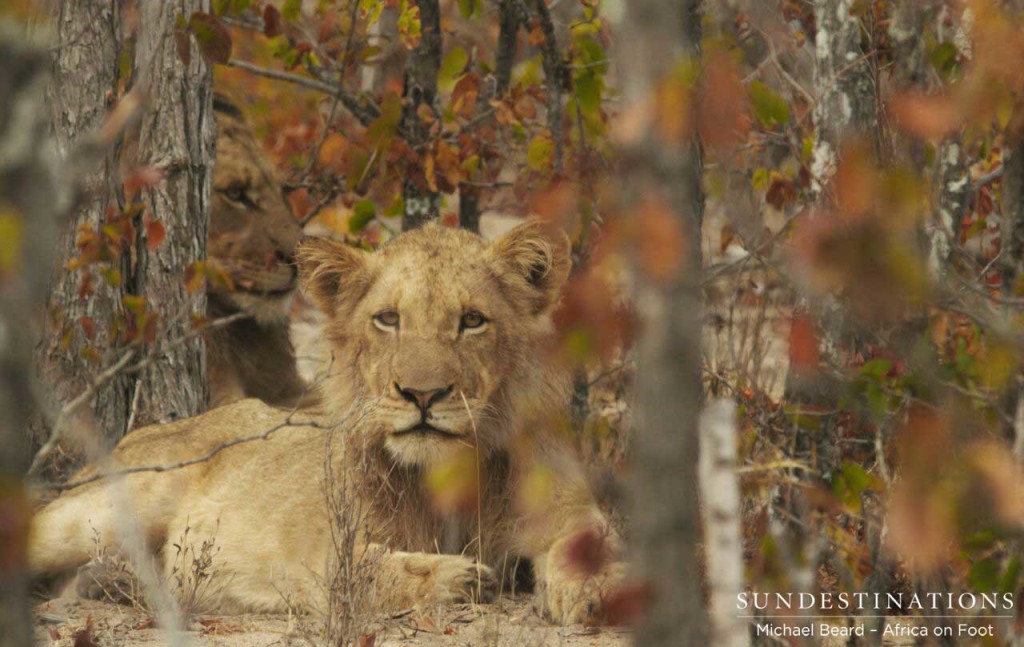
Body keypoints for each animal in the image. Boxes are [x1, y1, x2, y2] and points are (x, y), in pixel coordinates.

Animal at [29, 221, 622, 622]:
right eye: (388, 319)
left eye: (472, 320)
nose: (422, 394)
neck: (446, 473)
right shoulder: (317, 552)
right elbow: (362, 571)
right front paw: (459, 577)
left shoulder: (568, 507)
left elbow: (589, 541)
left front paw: (594, 591)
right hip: (114, 503)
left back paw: (111, 581)